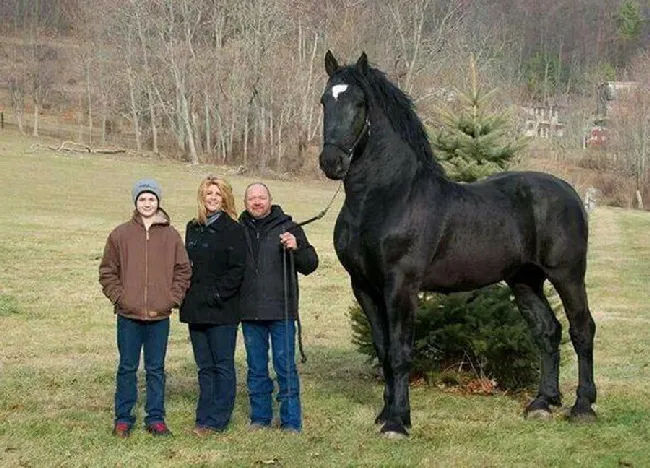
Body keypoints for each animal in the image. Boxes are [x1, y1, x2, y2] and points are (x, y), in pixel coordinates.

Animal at [316, 52, 596, 438]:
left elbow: (401, 352)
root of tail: (569, 191)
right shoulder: (364, 287)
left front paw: (398, 422)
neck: (387, 197)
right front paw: (386, 412)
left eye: (359, 103)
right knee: (547, 331)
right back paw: (542, 403)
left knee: (581, 329)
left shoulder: (401, 286)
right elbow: (384, 350)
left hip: (567, 275)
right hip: (525, 280)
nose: (332, 162)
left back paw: (582, 407)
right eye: (325, 101)